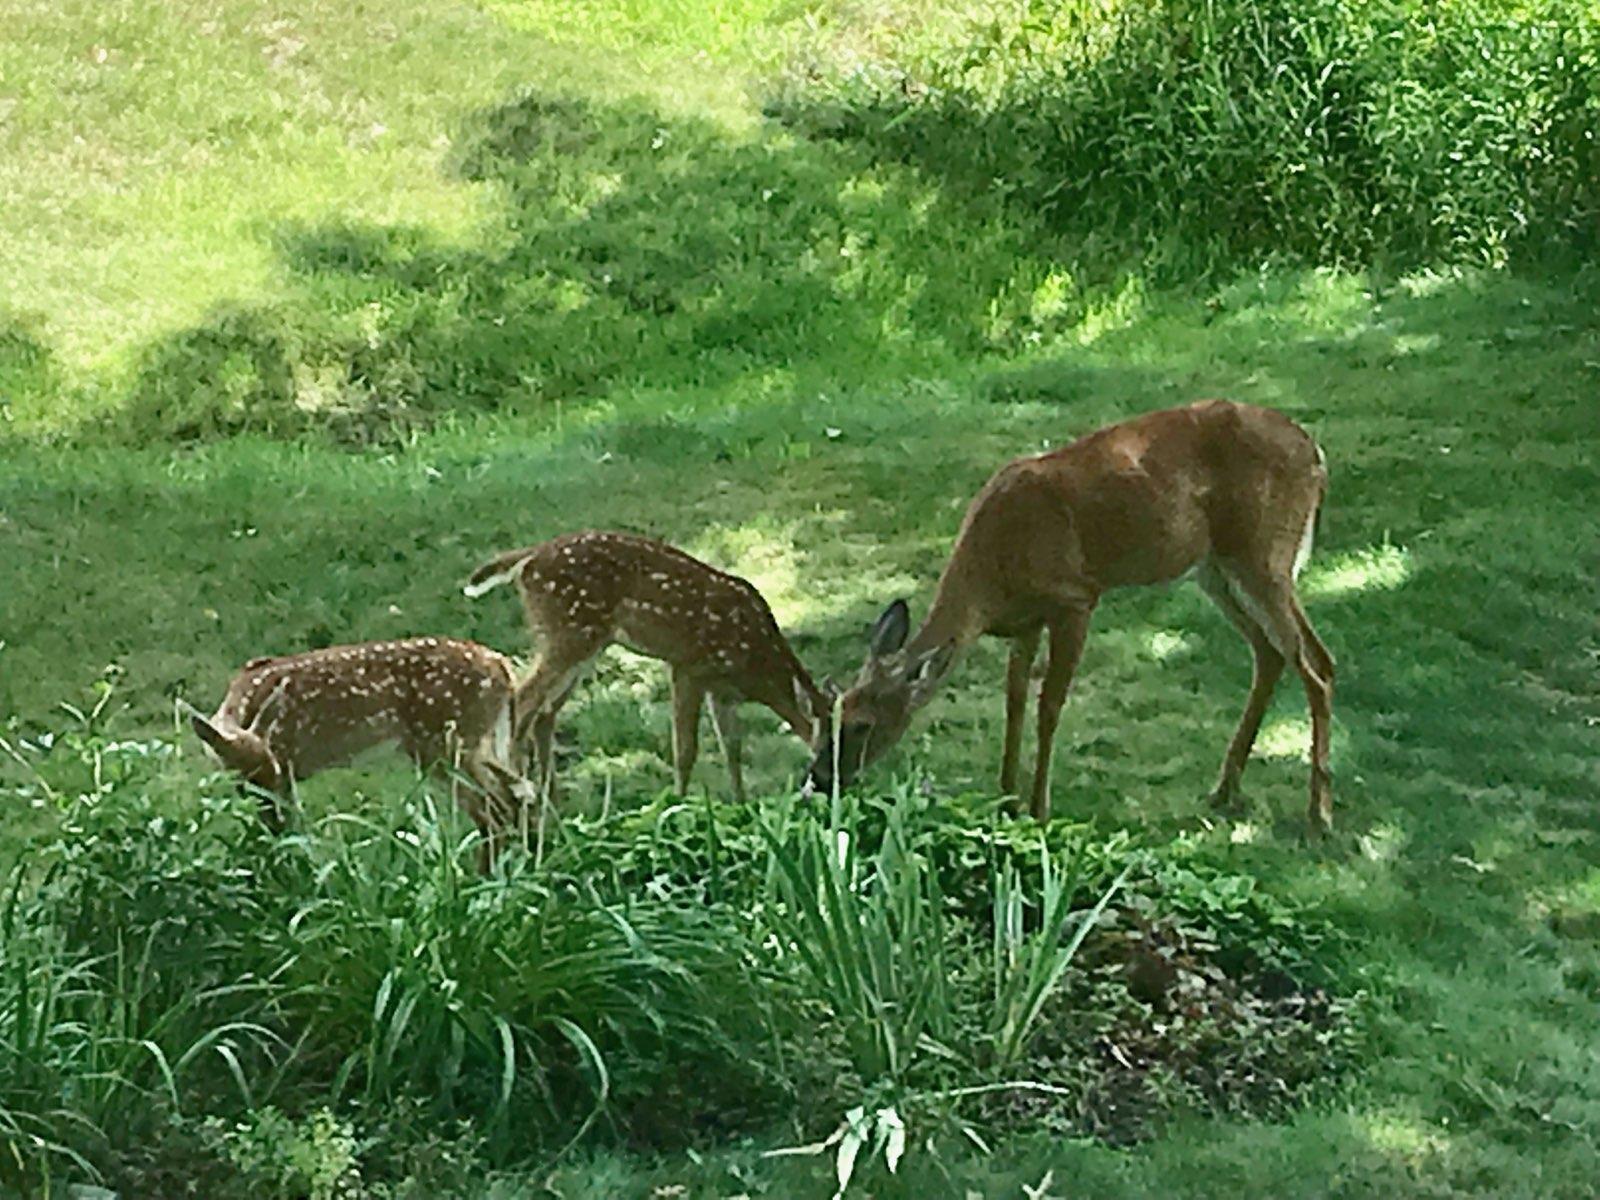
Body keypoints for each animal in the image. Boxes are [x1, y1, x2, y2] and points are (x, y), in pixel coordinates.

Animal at [188, 637, 528, 871]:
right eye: (243, 779)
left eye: (272, 771)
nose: (274, 815)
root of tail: (503, 667)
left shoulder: (285, 762)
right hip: (481, 741)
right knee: (517, 796)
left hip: (445, 742)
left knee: (496, 808)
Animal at [463, 530, 833, 806]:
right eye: (829, 746)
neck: (758, 662)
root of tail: (528, 559)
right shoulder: (687, 666)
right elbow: (686, 750)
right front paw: (678, 808)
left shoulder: (722, 690)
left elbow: (732, 750)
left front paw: (742, 808)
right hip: (566, 635)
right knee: (525, 702)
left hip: (582, 644)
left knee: (544, 713)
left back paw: (552, 806)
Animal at [805, 399, 1338, 834]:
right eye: (831, 716)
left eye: (862, 725)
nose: (819, 778)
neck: (991, 575)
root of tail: (1316, 454)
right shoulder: (1026, 620)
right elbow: (1015, 700)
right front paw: (1005, 799)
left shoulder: (1075, 598)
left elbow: (1049, 708)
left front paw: (1038, 810)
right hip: (1216, 567)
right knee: (1272, 652)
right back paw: (1225, 789)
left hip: (1265, 552)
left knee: (1316, 663)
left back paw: (1320, 814)